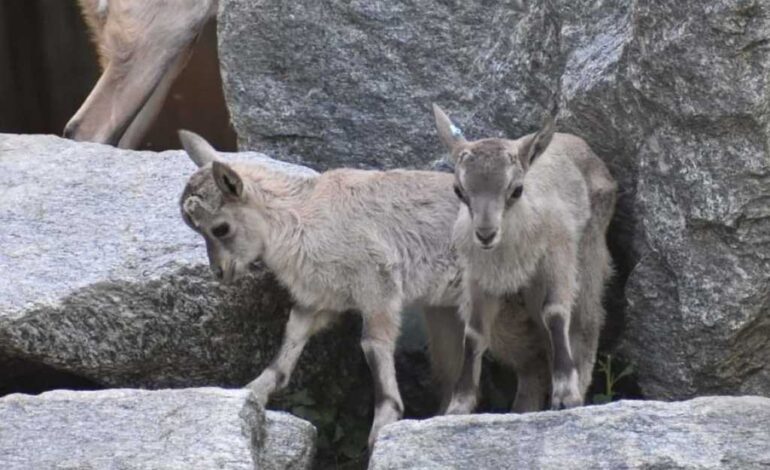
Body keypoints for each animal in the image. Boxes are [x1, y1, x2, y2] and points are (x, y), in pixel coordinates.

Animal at [176, 130, 464, 446]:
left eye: (220, 228)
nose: (219, 272)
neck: (301, 221)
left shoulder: (378, 288)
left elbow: (373, 345)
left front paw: (382, 424)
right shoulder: (319, 299)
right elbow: (290, 340)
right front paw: (252, 391)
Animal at [432, 105, 616, 412]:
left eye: (516, 189)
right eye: (459, 190)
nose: (485, 234)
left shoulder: (558, 260)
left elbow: (555, 313)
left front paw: (566, 394)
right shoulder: (478, 281)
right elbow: (474, 334)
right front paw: (458, 406)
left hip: (589, 256)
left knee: (585, 323)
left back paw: (576, 384)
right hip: (513, 314)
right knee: (533, 359)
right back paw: (522, 407)